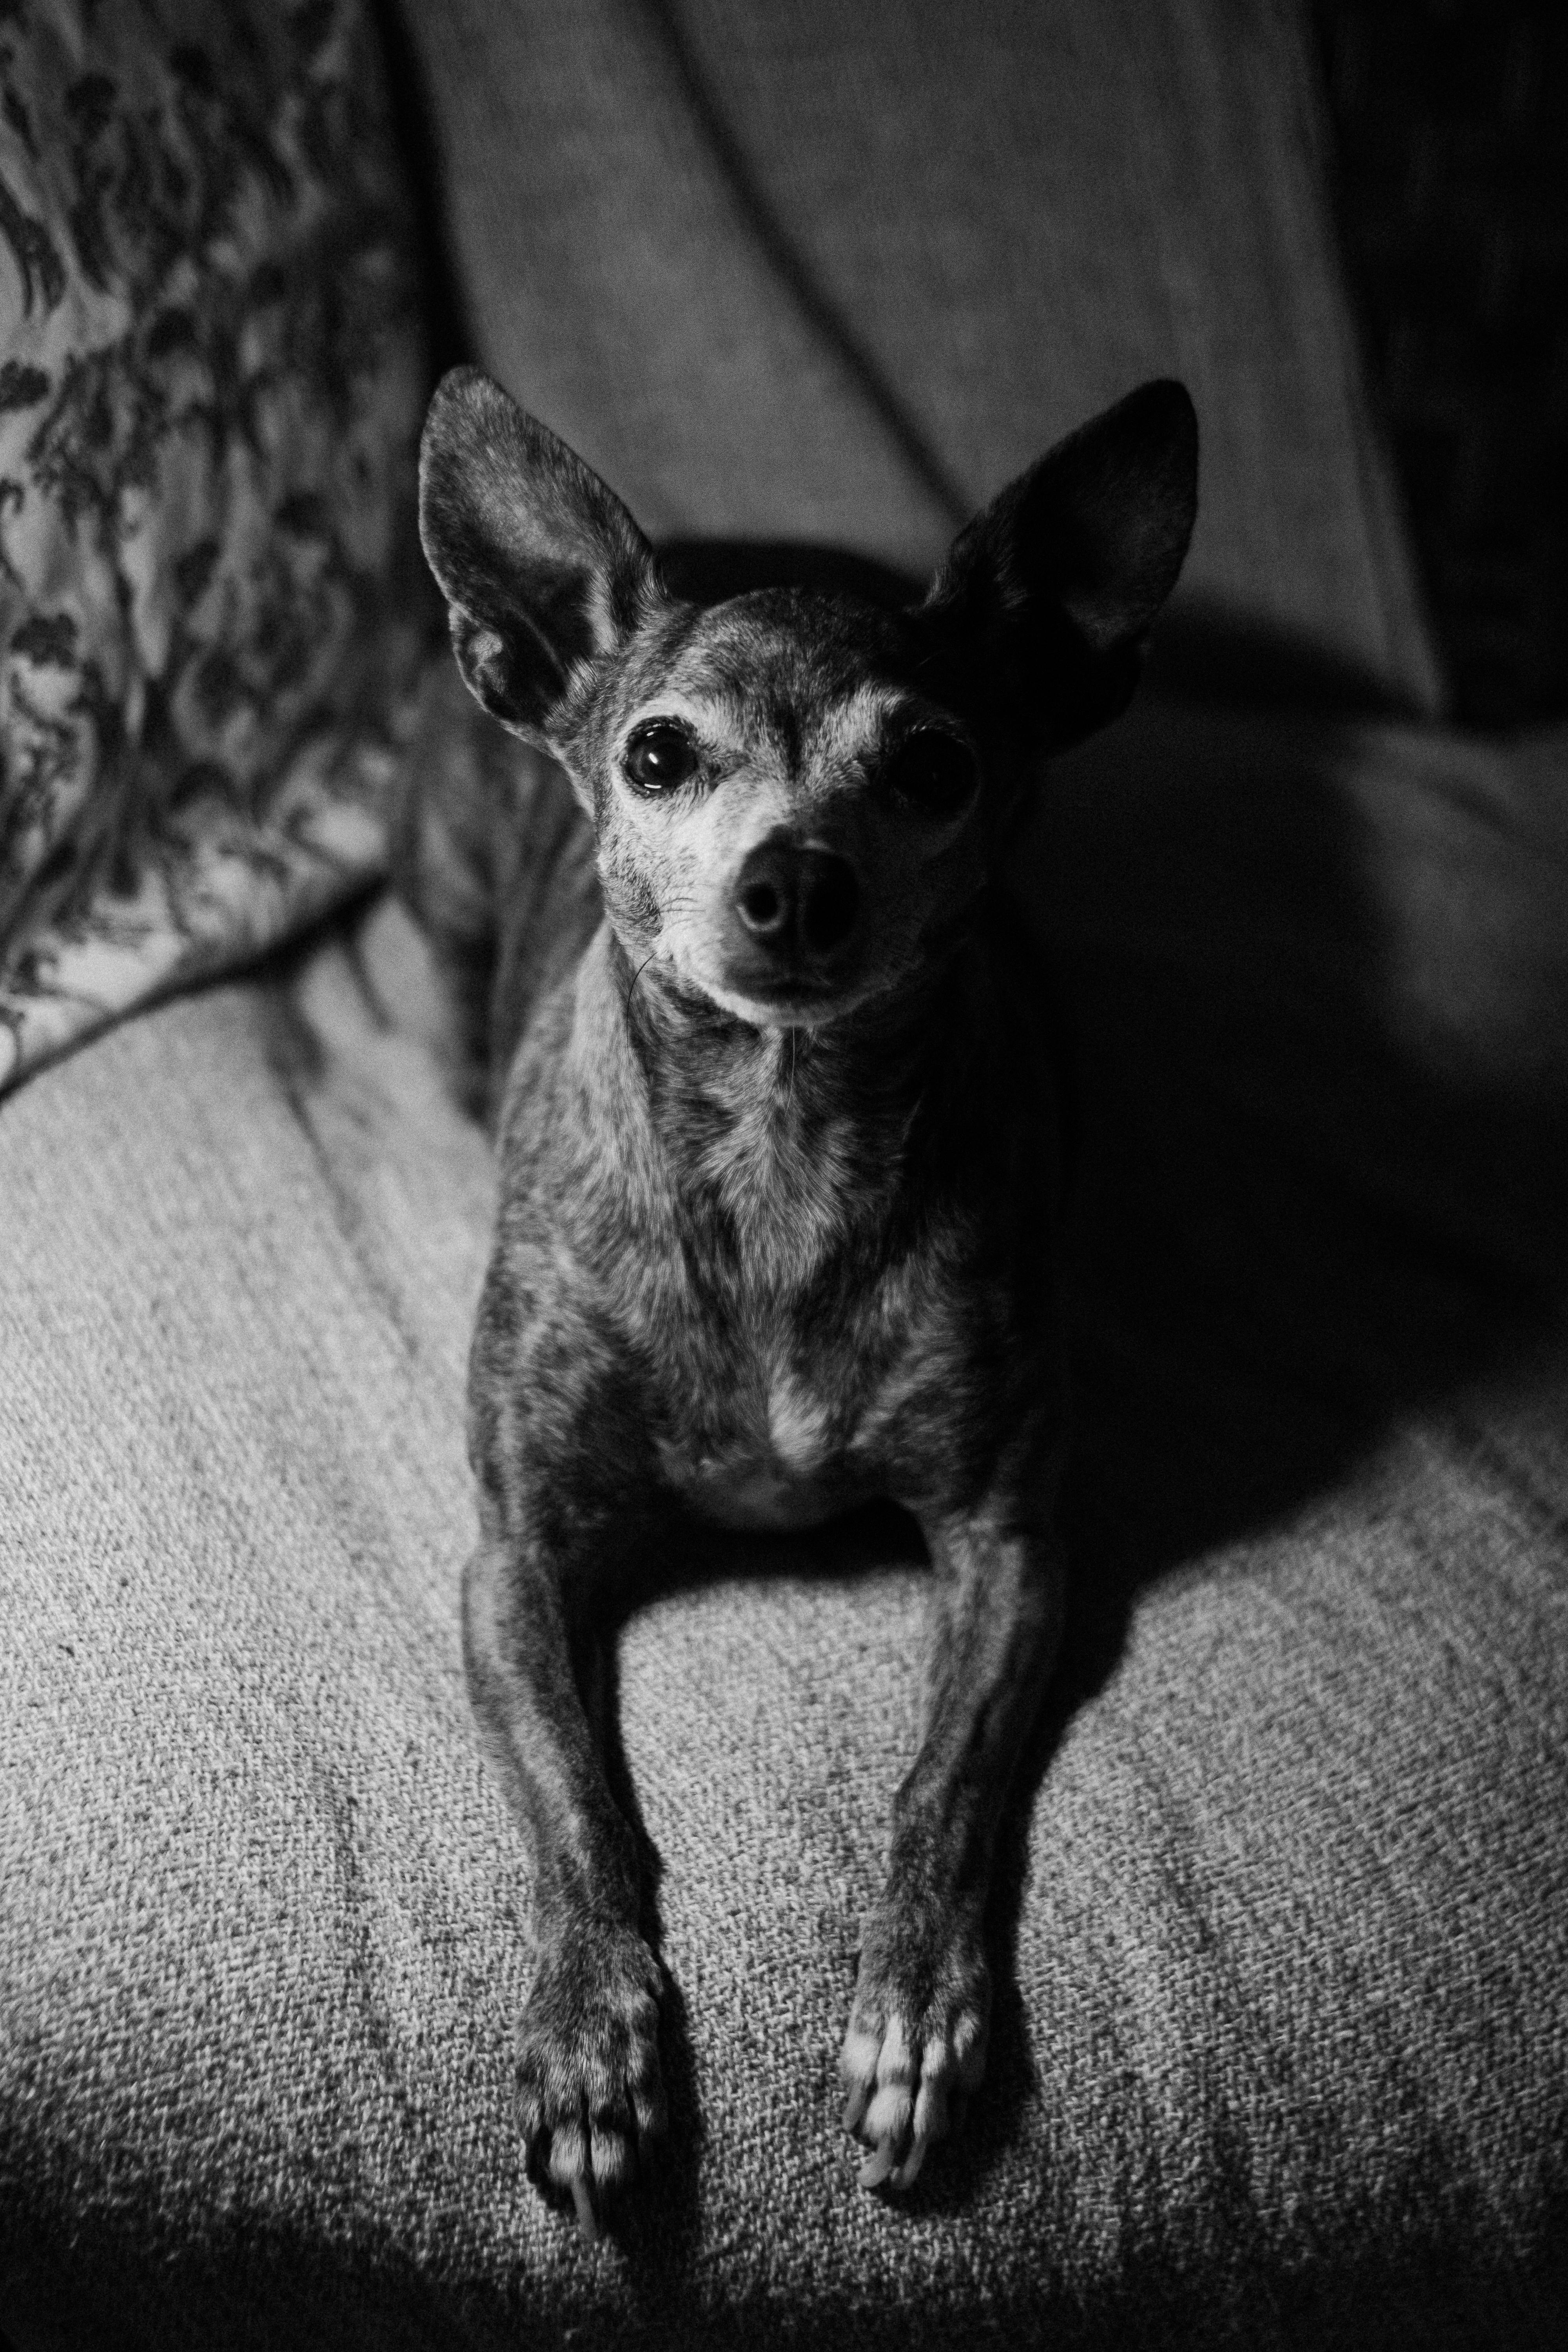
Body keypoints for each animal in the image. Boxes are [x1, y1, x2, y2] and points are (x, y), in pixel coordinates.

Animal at [404, 358, 1203, 2230]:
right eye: (654, 752)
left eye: (931, 763)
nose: (794, 881)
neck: (777, 1142)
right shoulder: (512, 1559)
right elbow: (572, 1812)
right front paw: (591, 2028)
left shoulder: (1008, 1543)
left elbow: (941, 1791)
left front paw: (913, 2008)